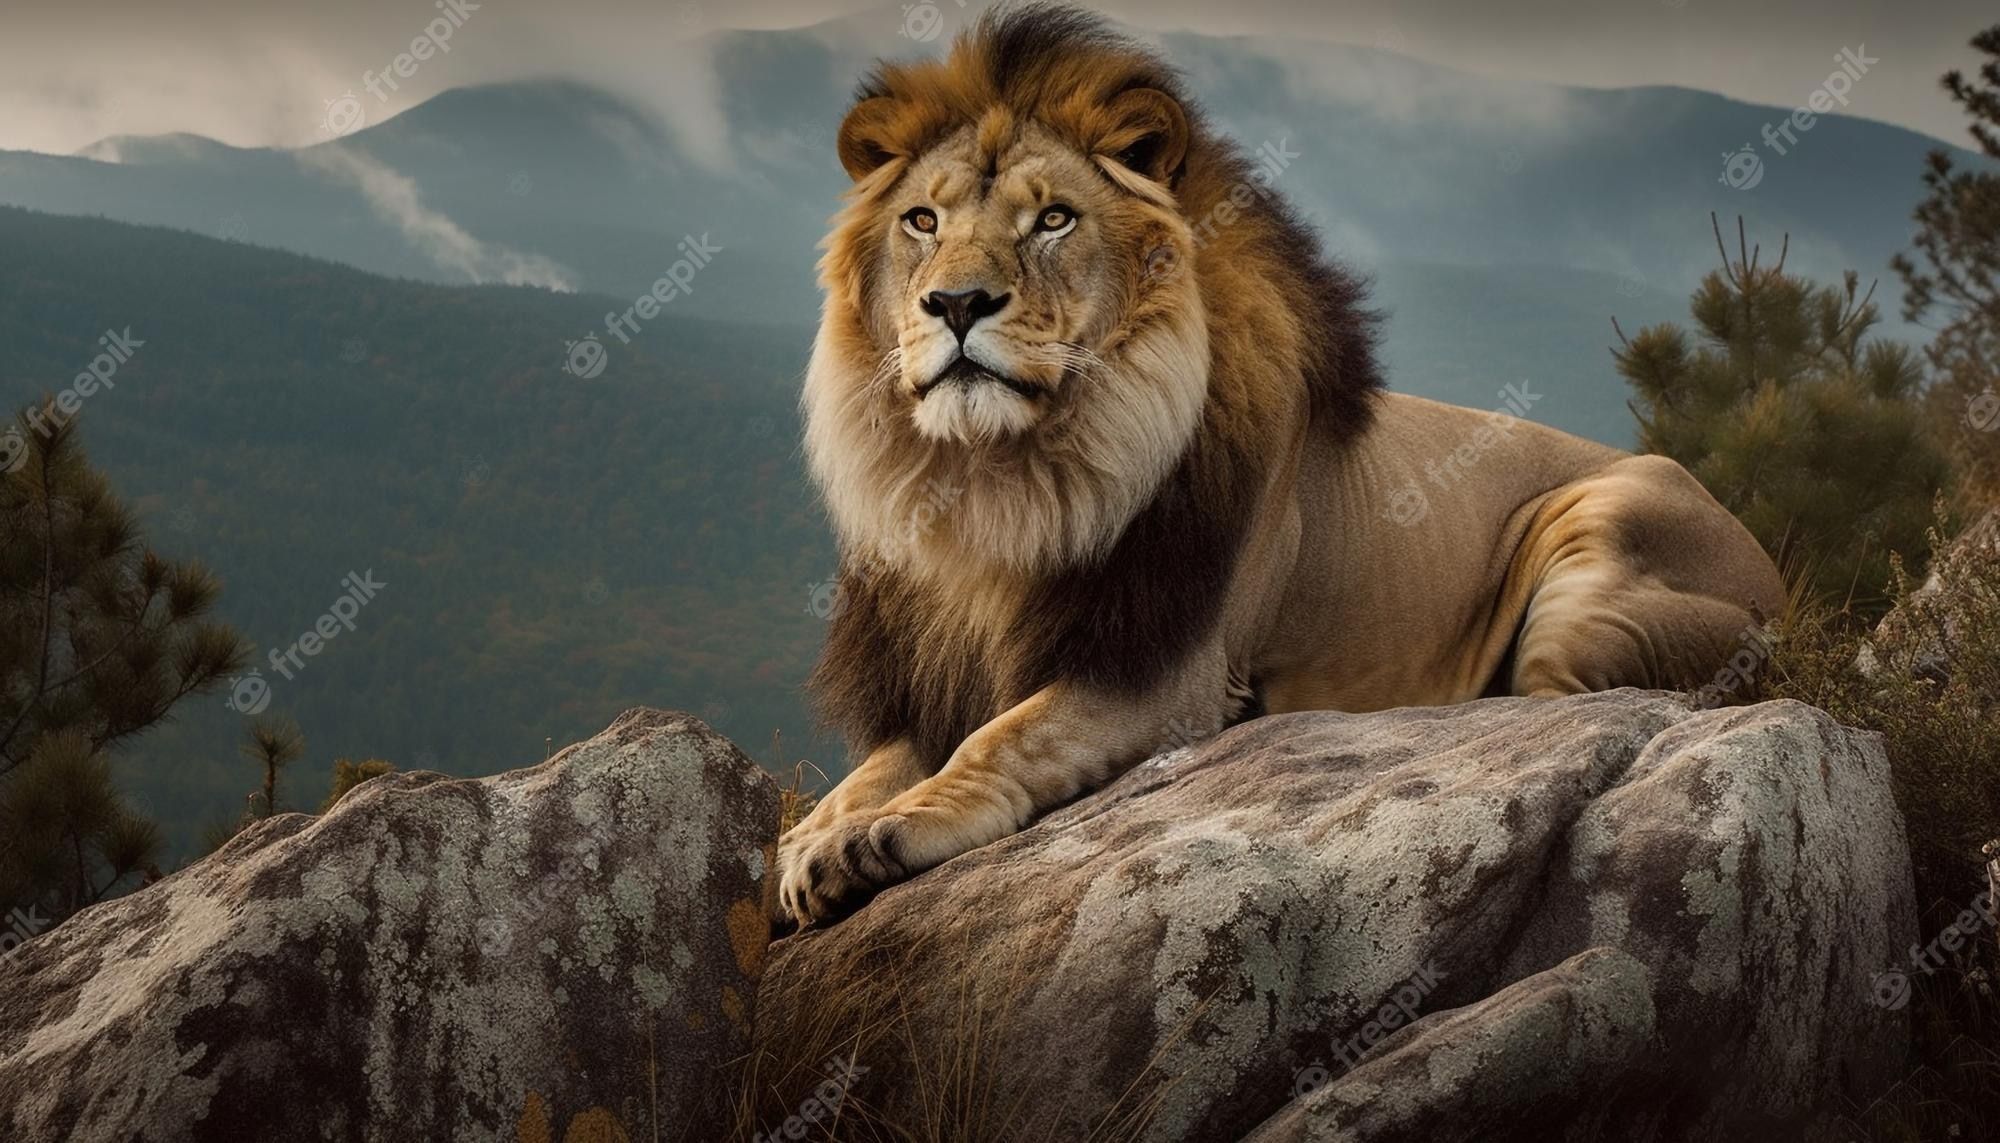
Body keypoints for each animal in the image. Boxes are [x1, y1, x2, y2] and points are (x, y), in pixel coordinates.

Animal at [779, 4, 1785, 926]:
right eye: (922, 221)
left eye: (1054, 220)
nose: (955, 302)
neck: (999, 484)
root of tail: (1773, 573)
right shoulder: (937, 671)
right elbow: (881, 762)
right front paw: (814, 837)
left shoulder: (1169, 676)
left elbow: (1000, 740)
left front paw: (883, 832)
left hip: (1598, 562)